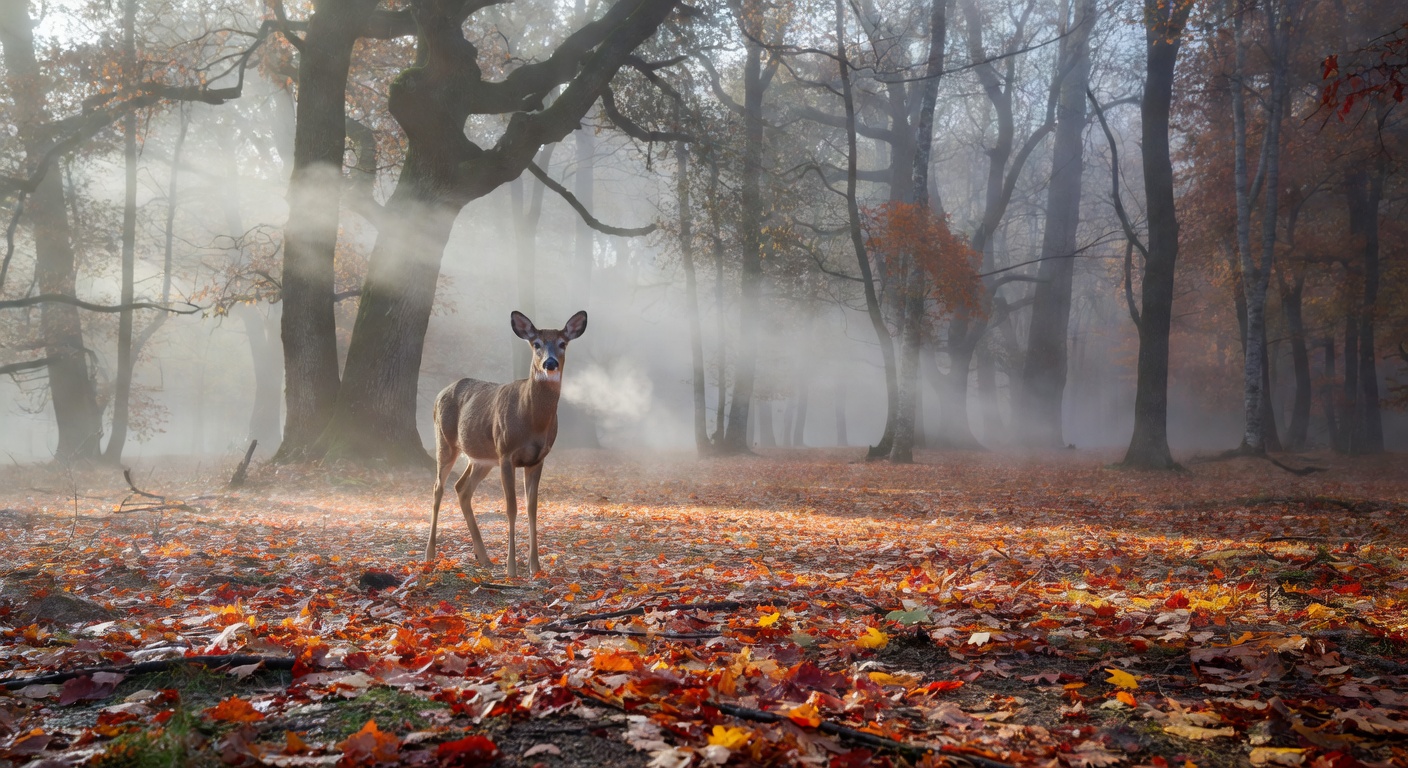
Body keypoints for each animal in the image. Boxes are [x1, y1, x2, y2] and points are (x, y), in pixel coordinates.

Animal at [424, 310, 587, 577]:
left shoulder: (538, 459)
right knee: (438, 487)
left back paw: (484, 557)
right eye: (536, 344)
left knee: (462, 488)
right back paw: (429, 554)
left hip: (482, 458)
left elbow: (532, 508)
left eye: (563, 343)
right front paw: (512, 569)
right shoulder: (506, 454)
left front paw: (535, 566)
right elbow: (511, 507)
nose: (550, 363)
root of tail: (439, 394)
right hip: (446, 442)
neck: (531, 420)